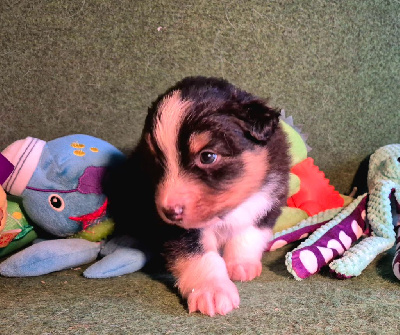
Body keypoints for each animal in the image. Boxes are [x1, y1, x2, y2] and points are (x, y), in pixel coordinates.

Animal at [122, 76, 288, 318]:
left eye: (207, 157)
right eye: (156, 163)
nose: (169, 212)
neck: (225, 214)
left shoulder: (267, 202)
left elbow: (248, 235)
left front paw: (242, 265)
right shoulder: (177, 230)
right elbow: (199, 257)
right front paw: (212, 290)